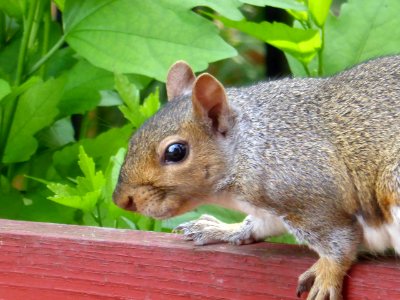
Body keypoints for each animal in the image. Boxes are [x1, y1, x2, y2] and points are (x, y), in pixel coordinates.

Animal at [112, 56, 400, 300]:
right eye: (134, 136)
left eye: (175, 152)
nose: (121, 200)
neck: (249, 146)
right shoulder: (270, 209)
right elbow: (258, 225)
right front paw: (222, 229)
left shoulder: (311, 200)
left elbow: (341, 241)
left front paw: (327, 274)